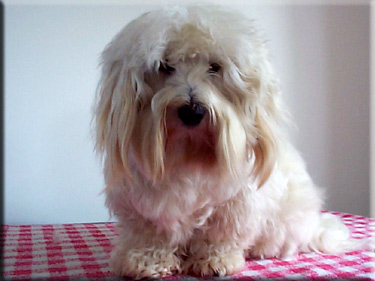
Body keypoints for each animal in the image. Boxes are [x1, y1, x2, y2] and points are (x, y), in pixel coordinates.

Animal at [94, 6, 374, 278]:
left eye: (214, 67)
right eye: (164, 66)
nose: (192, 111)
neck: (187, 151)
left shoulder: (233, 204)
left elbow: (218, 236)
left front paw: (215, 261)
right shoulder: (143, 205)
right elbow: (149, 235)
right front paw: (146, 260)